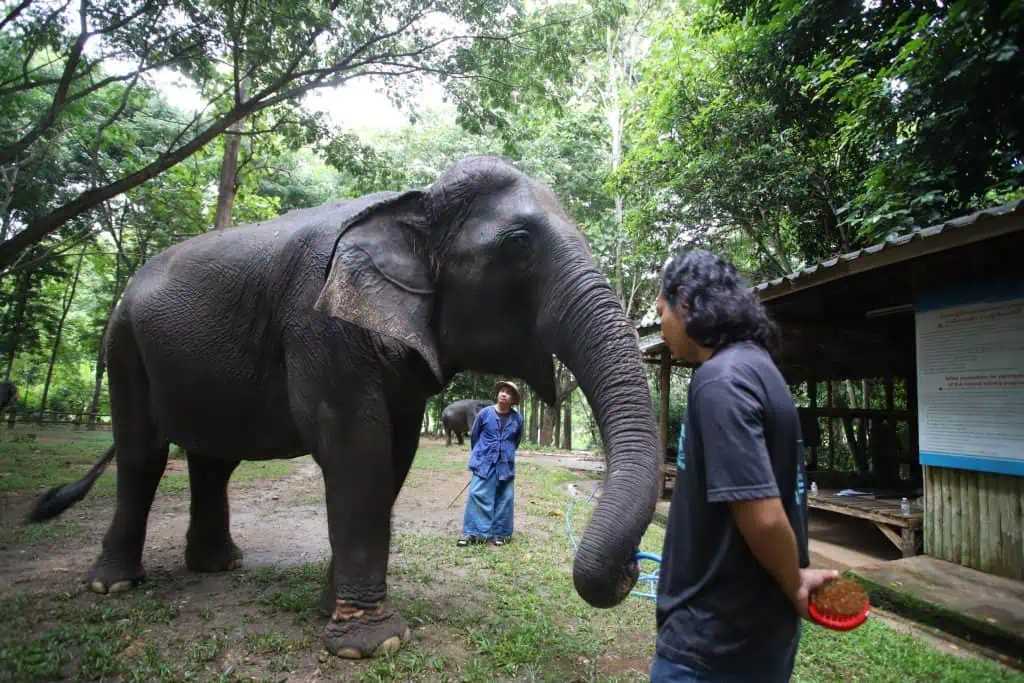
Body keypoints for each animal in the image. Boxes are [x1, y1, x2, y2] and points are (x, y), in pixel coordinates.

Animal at [28, 156, 663, 663]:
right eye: (517, 245)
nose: (633, 568)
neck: (412, 203)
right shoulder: (318, 324)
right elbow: (354, 445)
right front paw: (372, 643)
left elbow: (394, 453)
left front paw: (332, 611)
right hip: (123, 345)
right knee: (143, 454)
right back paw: (114, 586)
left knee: (212, 459)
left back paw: (218, 565)